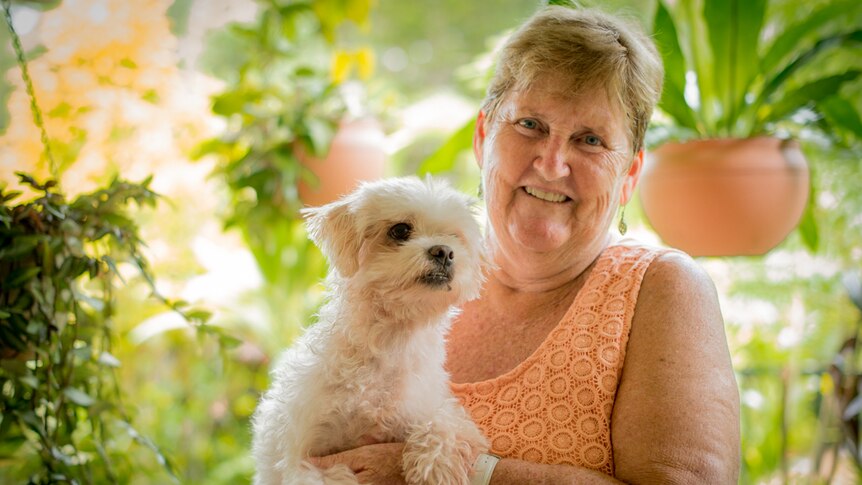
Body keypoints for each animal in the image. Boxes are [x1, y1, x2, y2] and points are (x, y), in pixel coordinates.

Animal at [253, 177, 490, 484]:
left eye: (454, 237)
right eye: (400, 230)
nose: (444, 251)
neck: (391, 340)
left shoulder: (429, 406)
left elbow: (447, 423)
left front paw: (435, 465)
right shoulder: (300, 454)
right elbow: (323, 475)